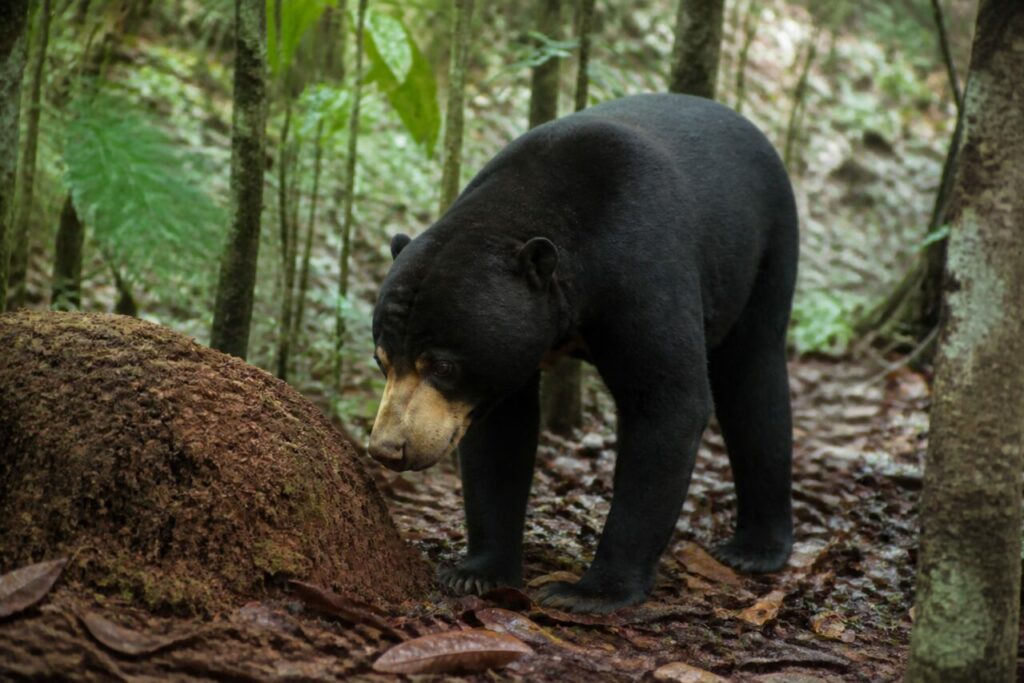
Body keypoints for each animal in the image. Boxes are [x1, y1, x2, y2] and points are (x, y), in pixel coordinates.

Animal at [367, 93, 798, 614]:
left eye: (443, 366)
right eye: (382, 360)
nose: (389, 448)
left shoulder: (645, 266)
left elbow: (668, 402)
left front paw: (589, 592)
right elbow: (500, 435)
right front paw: (477, 573)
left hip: (767, 244)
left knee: (754, 378)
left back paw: (755, 548)